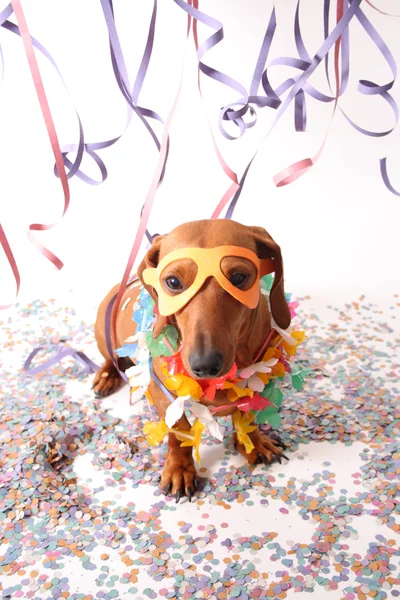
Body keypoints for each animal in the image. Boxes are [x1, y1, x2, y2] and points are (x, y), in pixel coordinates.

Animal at [94, 220, 290, 502]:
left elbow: (247, 415)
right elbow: (179, 433)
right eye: (173, 281)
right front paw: (179, 469)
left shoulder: (255, 379)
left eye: (238, 278)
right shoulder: (164, 396)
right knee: (110, 358)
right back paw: (106, 376)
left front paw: (252, 442)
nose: (205, 365)